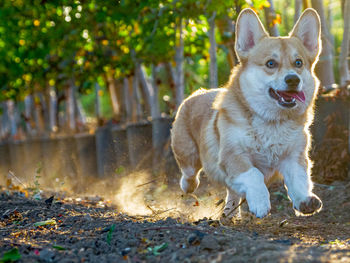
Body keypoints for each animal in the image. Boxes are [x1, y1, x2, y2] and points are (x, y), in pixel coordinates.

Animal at [170, 7, 322, 219]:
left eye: (298, 63)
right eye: (271, 63)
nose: (293, 79)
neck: (271, 122)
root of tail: (196, 93)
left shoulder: (295, 158)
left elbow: (299, 180)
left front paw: (305, 201)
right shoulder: (233, 157)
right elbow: (254, 175)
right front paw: (260, 203)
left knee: (232, 192)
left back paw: (230, 213)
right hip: (188, 155)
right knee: (189, 174)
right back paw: (189, 186)